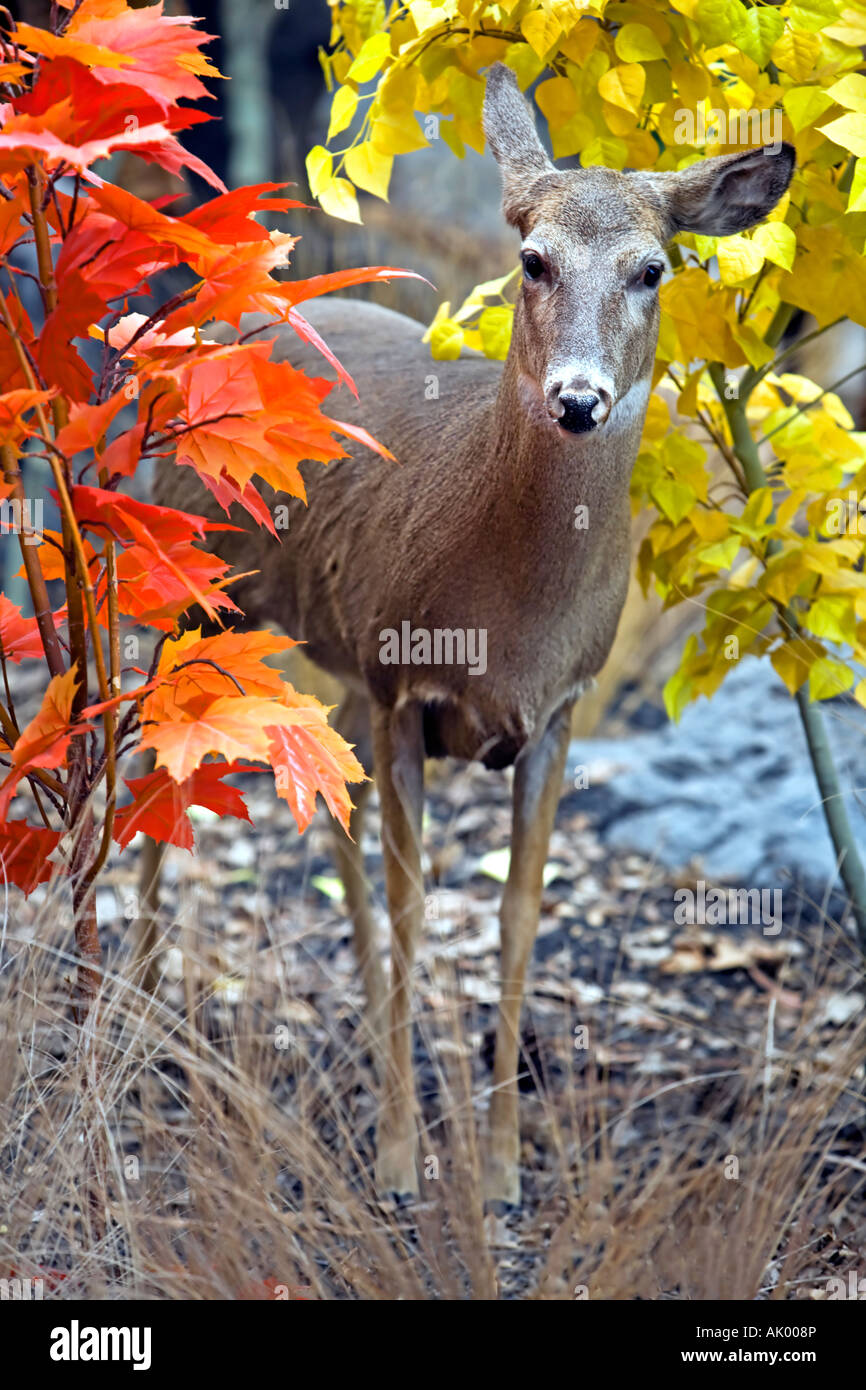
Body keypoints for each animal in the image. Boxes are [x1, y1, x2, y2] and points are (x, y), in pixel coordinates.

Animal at [150, 65, 795, 1200]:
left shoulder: (559, 707)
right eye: (532, 260)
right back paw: (116, 1001)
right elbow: (417, 906)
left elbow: (514, 916)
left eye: (653, 269)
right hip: (186, 579)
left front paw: (496, 1171)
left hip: (322, 662)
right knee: (129, 762)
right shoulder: (401, 685)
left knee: (329, 809)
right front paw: (402, 1160)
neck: (506, 620)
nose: (578, 398)